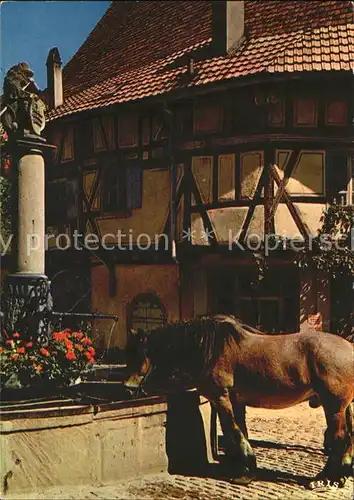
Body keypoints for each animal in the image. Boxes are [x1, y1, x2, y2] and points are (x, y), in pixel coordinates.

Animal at [125, 314, 354, 490]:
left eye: (140, 353)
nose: (128, 387)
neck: (211, 348)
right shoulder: (236, 401)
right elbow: (240, 430)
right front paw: (243, 467)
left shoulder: (220, 396)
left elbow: (232, 430)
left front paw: (245, 472)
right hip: (343, 407)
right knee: (349, 437)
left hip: (333, 406)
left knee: (339, 438)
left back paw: (324, 478)